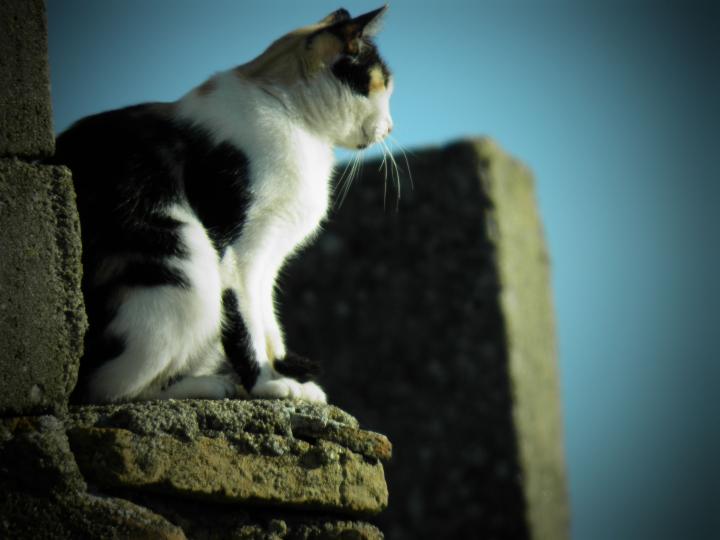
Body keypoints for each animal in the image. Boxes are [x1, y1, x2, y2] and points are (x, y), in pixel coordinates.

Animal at [50, 7, 394, 404]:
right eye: (382, 86)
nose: (390, 127)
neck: (292, 119)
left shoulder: (267, 259)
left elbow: (267, 320)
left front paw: (285, 375)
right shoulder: (235, 250)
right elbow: (245, 324)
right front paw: (266, 384)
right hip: (185, 267)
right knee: (111, 389)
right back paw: (210, 385)